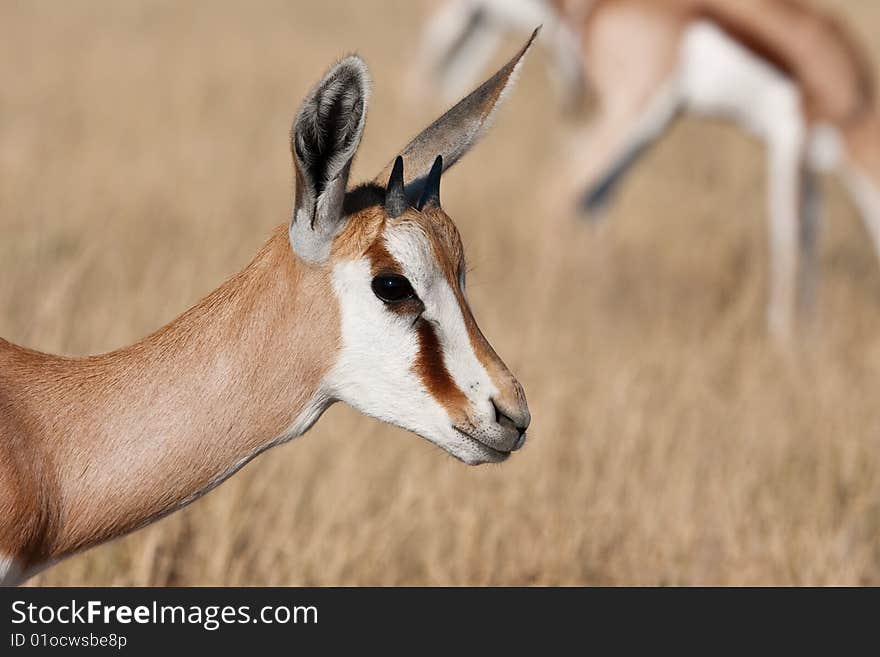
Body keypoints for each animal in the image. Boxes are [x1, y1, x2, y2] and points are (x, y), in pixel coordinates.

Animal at [416, 0, 880, 336]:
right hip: (636, 115)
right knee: (562, 188)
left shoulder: (811, 162)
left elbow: (811, 232)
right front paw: (784, 339)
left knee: (591, 196)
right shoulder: (787, 139)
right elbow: (788, 233)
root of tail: (597, 13)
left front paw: (813, 332)